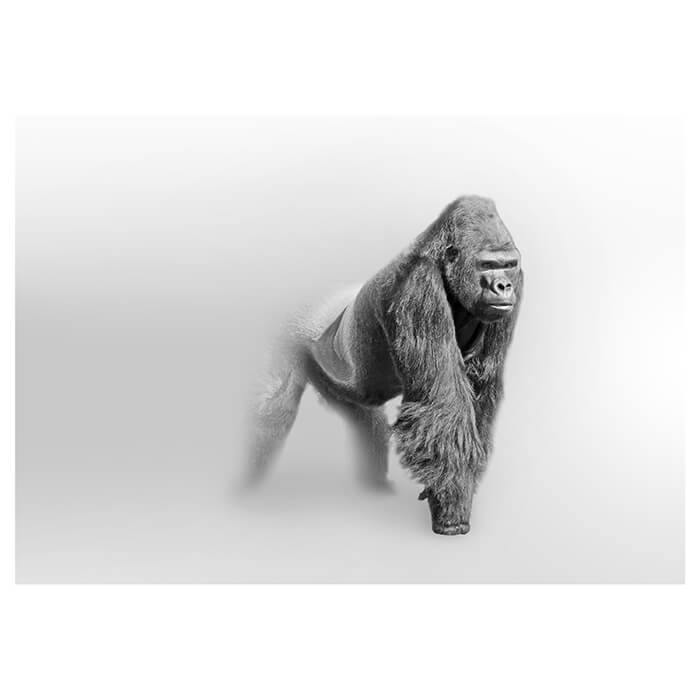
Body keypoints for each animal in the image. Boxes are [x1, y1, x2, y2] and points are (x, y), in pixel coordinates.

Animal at [248, 195, 522, 535]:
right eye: (487, 265)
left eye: (509, 265)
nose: (503, 286)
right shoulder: (418, 288)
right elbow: (443, 406)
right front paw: (452, 513)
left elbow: (481, 394)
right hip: (289, 334)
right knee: (273, 411)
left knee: (367, 422)